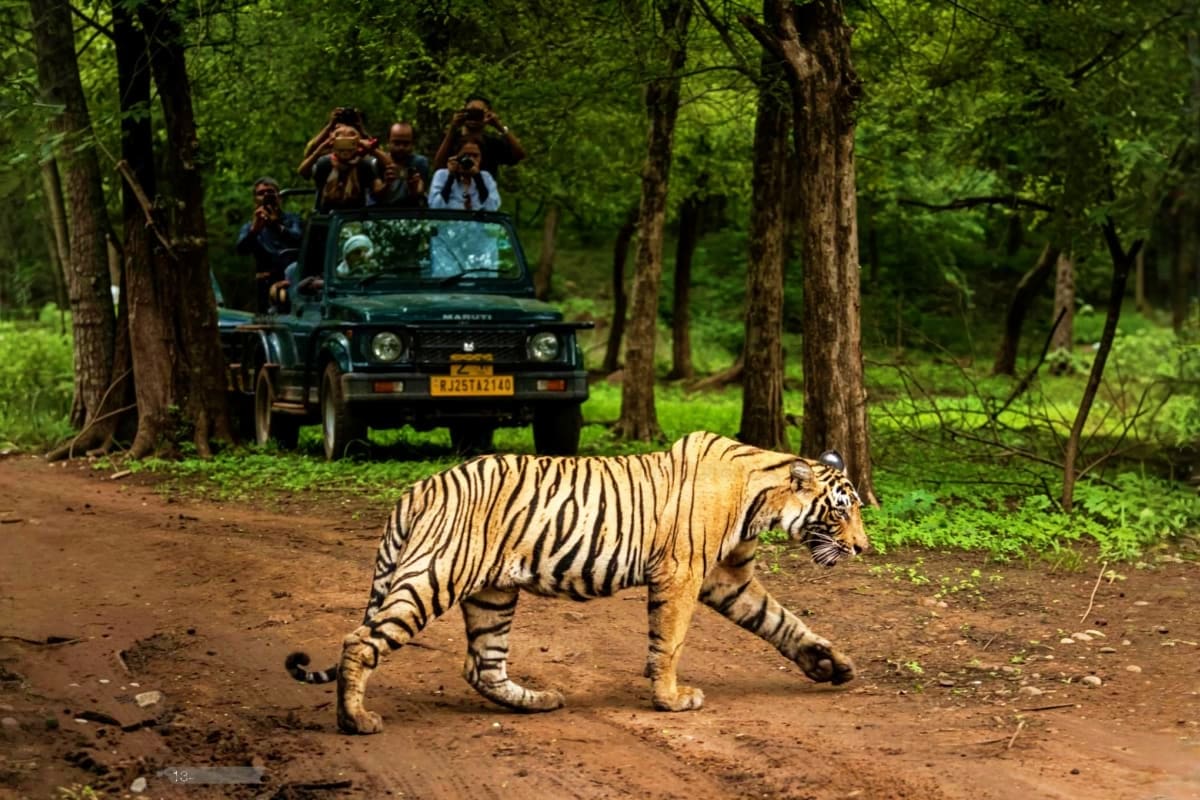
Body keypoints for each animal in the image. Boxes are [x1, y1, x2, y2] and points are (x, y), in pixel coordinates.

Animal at [284, 431, 869, 734]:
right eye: (841, 511)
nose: (863, 548)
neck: (762, 500)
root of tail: (418, 488)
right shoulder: (682, 574)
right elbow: (671, 642)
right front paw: (671, 700)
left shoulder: (727, 579)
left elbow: (783, 622)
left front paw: (831, 665)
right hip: (435, 575)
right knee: (360, 640)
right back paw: (355, 720)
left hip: (493, 593)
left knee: (482, 666)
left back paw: (538, 702)